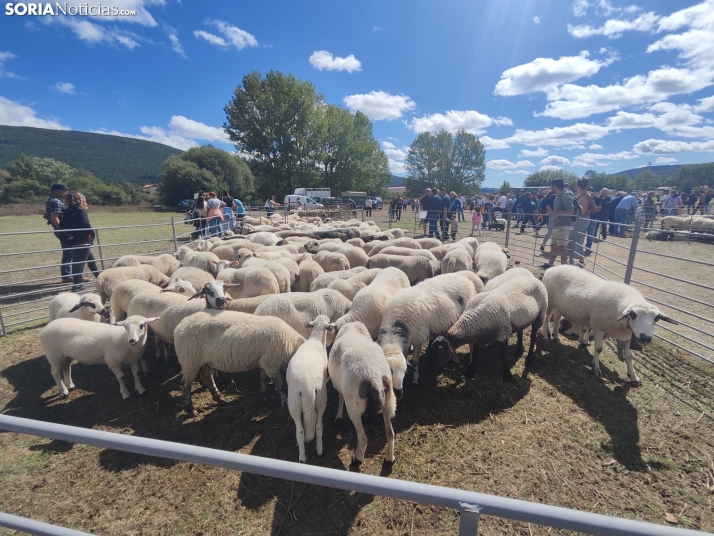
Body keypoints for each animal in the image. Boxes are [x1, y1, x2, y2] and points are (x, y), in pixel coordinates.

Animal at [175, 308, 306, 412]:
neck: (293, 345)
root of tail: (180, 325)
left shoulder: (264, 363)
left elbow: (262, 378)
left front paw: (262, 395)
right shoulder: (272, 364)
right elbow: (281, 386)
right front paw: (284, 405)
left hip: (206, 360)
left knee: (207, 377)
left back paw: (219, 398)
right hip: (190, 360)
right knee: (185, 384)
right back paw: (190, 409)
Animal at [286, 316, 332, 462]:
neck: (316, 338)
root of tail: (307, 389)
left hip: (294, 402)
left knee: (300, 431)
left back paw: (302, 457)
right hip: (322, 397)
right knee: (318, 426)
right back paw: (320, 450)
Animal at [326, 322, 394, 464]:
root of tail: (374, 377)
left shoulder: (341, 387)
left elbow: (340, 398)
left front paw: (338, 417)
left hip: (354, 406)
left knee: (363, 438)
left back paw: (357, 458)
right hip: (389, 402)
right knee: (390, 433)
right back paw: (390, 459)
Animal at [544, 264, 676, 386]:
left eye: (657, 318)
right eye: (633, 315)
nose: (645, 338)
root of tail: (553, 268)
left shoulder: (628, 338)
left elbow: (629, 356)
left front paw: (633, 377)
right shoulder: (599, 328)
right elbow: (599, 349)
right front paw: (596, 368)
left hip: (561, 306)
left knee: (557, 317)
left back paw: (556, 336)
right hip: (550, 301)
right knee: (546, 318)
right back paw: (546, 336)